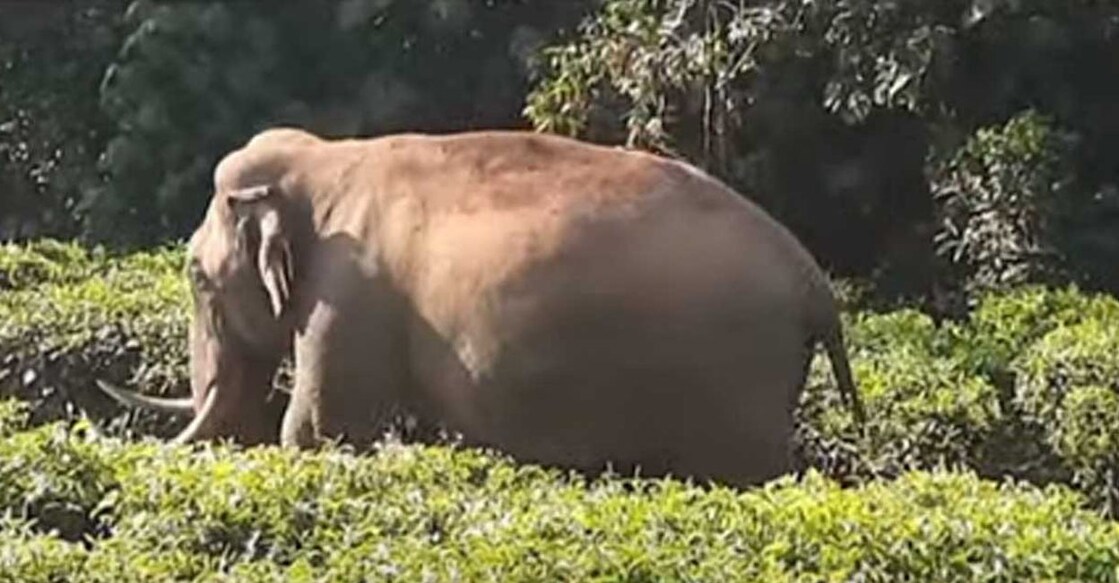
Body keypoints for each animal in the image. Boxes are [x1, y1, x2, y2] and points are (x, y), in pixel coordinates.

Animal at [99, 127, 863, 487]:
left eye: (195, 277)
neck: (322, 160)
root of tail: (814, 284)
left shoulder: (346, 292)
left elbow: (319, 431)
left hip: (737, 375)